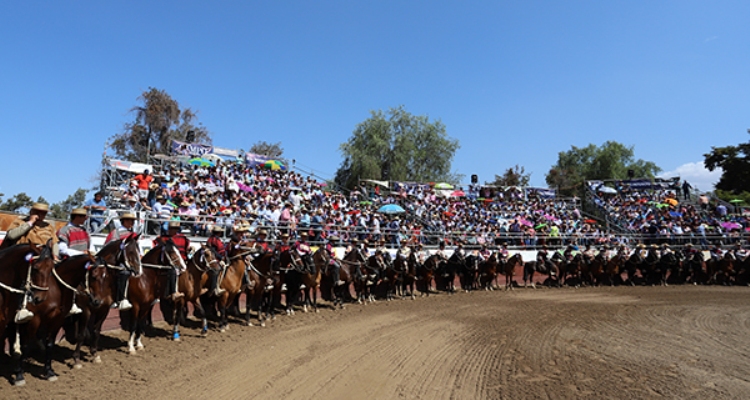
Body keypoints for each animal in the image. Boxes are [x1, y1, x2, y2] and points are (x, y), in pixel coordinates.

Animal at [11, 252, 95, 386]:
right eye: (94, 275)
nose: (95, 300)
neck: (56, 289)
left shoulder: (57, 320)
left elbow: (50, 344)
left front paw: (49, 372)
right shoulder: (34, 320)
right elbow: (26, 345)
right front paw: (19, 376)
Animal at [66, 234, 142, 368]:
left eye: (139, 251)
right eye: (131, 252)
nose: (138, 271)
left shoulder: (104, 309)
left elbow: (96, 331)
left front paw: (95, 354)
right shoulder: (86, 310)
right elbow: (81, 334)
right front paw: (76, 359)